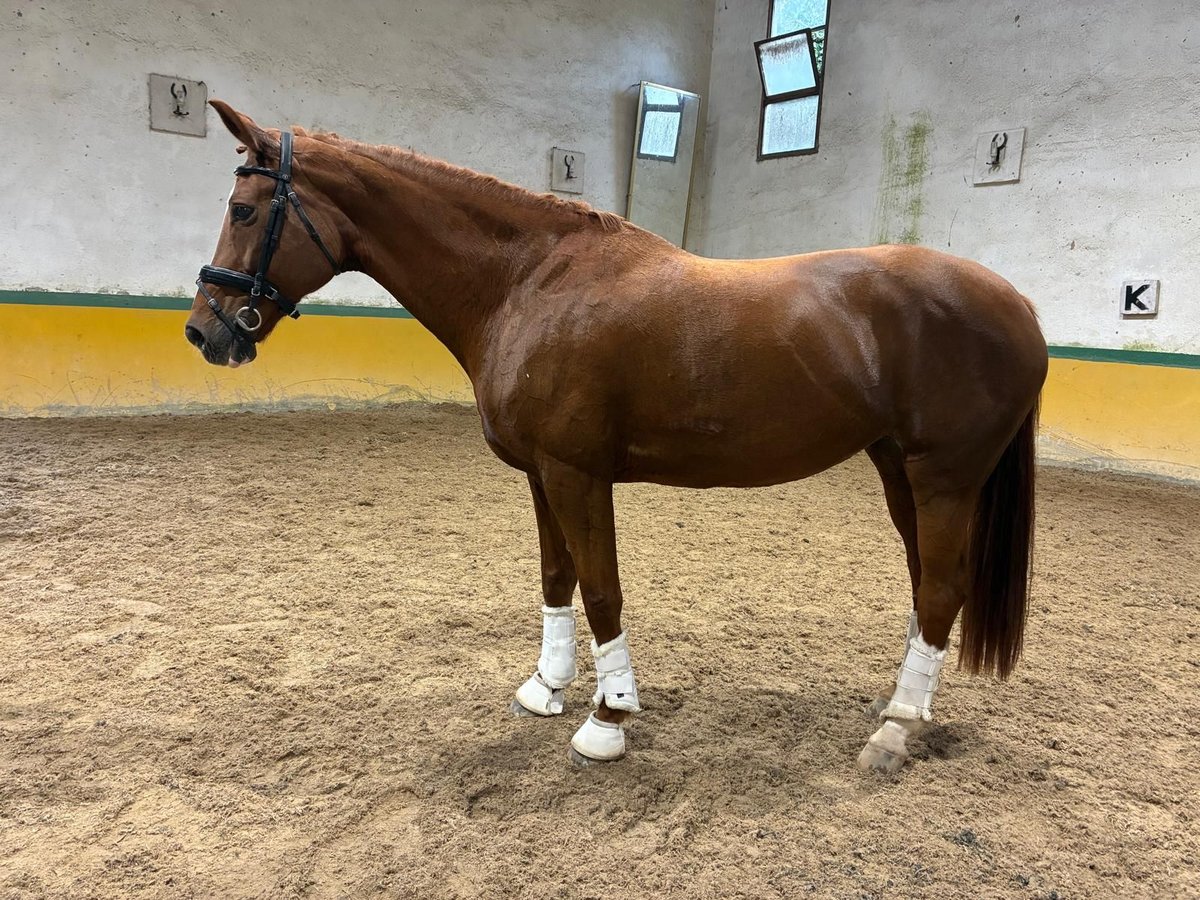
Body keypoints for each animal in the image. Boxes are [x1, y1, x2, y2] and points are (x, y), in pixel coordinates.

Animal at [185, 101, 1048, 773]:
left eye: (244, 212)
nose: (204, 331)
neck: (529, 282)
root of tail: (1019, 307)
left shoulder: (577, 472)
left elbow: (602, 588)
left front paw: (609, 719)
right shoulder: (540, 474)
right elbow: (556, 578)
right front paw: (547, 689)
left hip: (944, 478)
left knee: (939, 589)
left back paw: (896, 731)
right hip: (898, 469)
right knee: (927, 582)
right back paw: (905, 705)